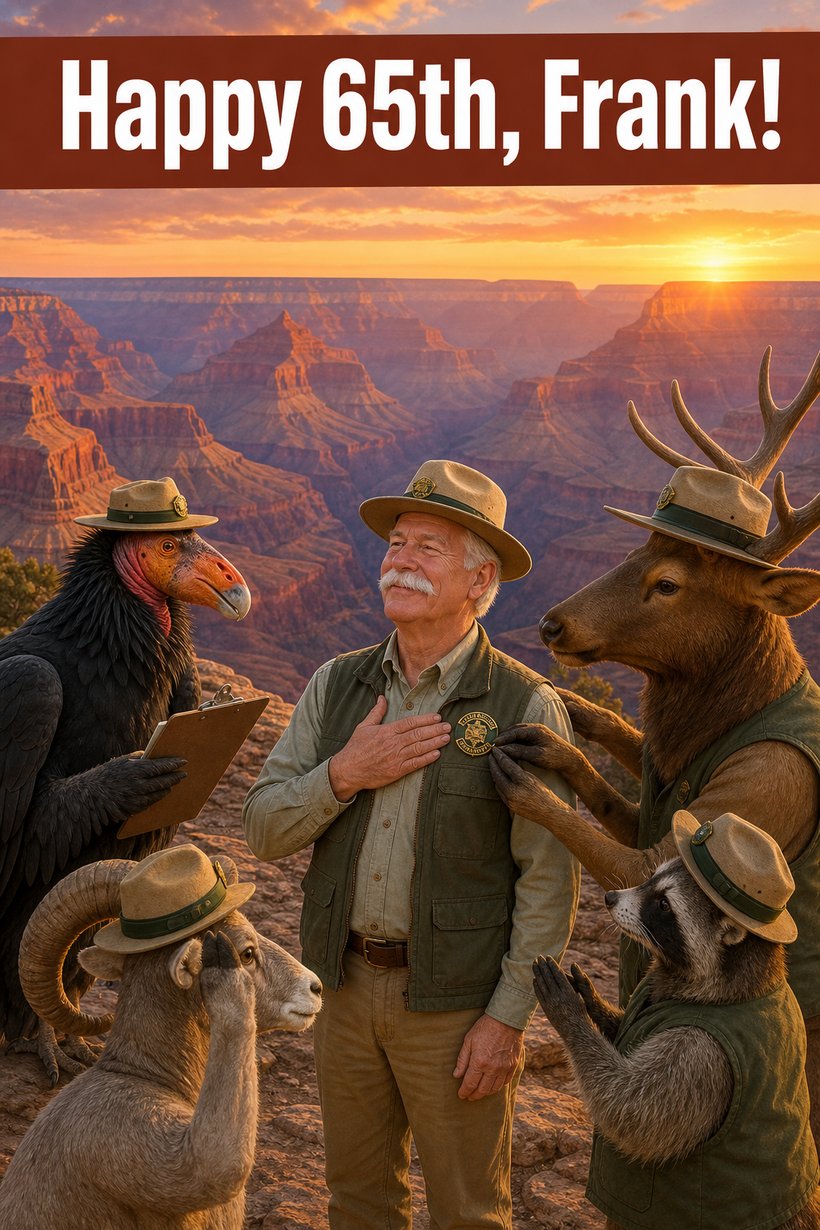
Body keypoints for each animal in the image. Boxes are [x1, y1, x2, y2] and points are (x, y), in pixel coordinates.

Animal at [487, 347, 820, 1142]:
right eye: (636, 548)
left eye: (668, 583)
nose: (550, 623)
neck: (717, 721)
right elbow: (610, 765)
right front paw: (558, 724)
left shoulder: (752, 795)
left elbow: (599, 838)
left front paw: (522, 776)